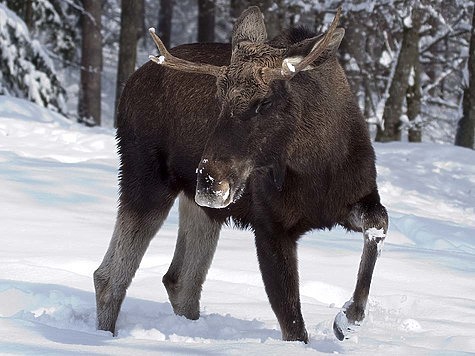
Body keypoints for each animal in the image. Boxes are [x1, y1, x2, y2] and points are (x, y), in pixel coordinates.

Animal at [93, 6, 386, 342]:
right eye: (219, 99)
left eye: (266, 101)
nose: (210, 179)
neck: (317, 167)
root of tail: (129, 84)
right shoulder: (269, 224)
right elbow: (293, 325)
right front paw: (340, 321)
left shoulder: (358, 198)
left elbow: (379, 223)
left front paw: (347, 318)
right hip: (146, 176)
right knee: (110, 276)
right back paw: (102, 338)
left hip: (200, 206)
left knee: (181, 280)